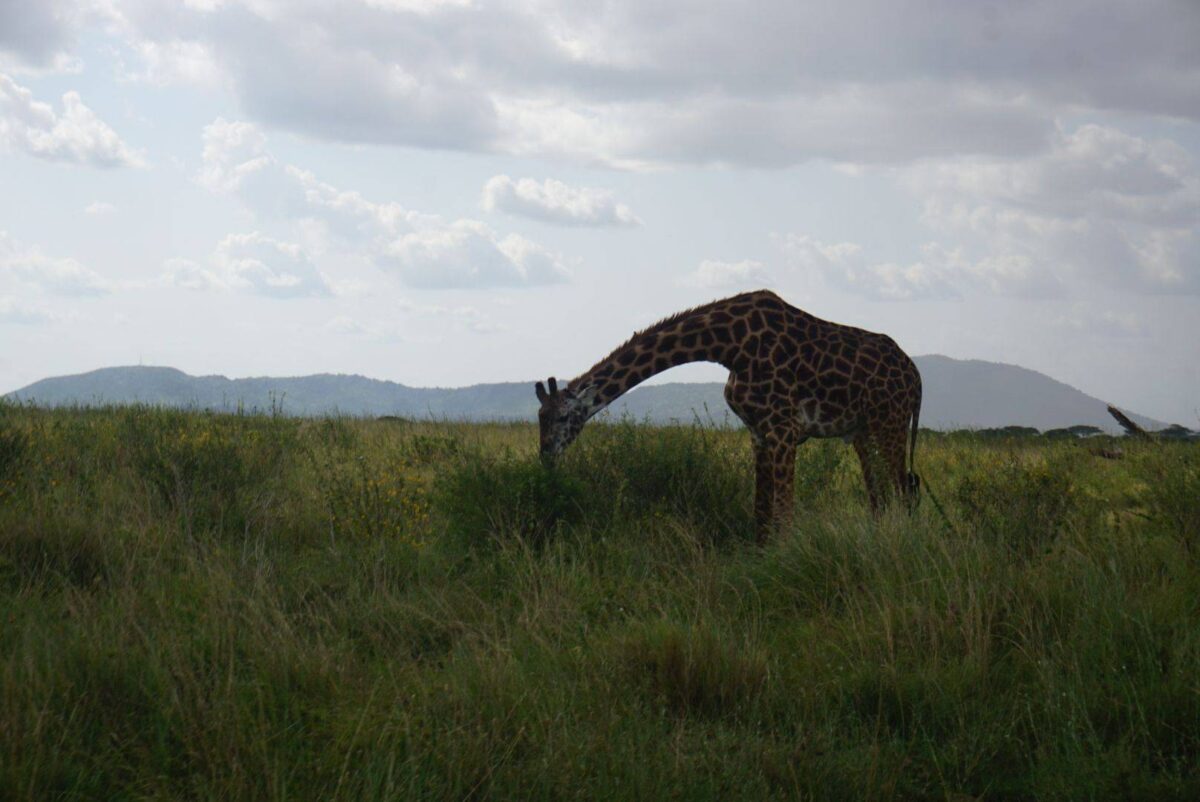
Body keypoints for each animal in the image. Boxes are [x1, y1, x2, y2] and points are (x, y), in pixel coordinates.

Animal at [534, 290, 923, 542]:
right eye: (540, 417)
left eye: (561, 418)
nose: (545, 457)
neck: (727, 345)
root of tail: (915, 376)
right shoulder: (760, 433)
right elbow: (761, 514)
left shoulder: (783, 428)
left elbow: (783, 514)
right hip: (864, 431)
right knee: (880, 497)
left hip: (891, 424)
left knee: (903, 491)